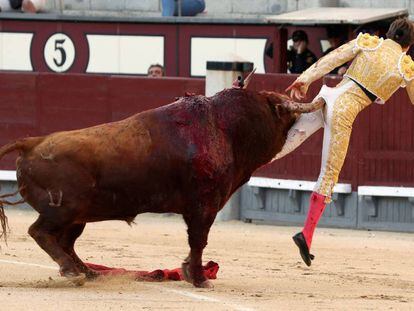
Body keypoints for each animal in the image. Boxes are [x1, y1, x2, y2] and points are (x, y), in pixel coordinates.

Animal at [0, 80, 324, 288]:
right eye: (281, 112)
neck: (228, 129)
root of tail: (32, 142)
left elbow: (197, 242)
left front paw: (190, 272)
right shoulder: (203, 206)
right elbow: (198, 241)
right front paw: (199, 278)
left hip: (78, 215)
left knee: (65, 241)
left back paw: (87, 272)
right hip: (64, 209)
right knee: (40, 232)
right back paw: (73, 271)